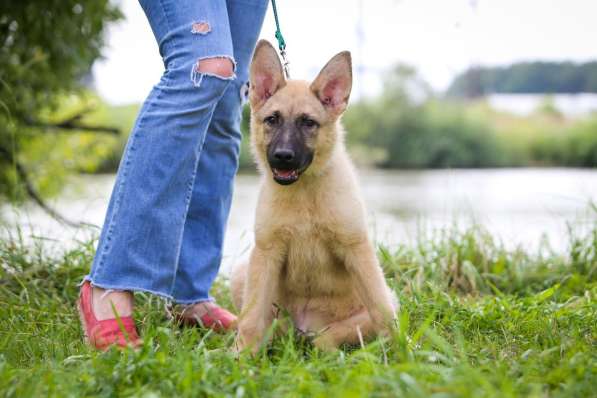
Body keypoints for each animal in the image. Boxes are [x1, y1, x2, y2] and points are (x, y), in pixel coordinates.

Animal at [232, 40, 396, 352]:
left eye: (308, 123)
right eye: (272, 119)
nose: (283, 157)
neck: (304, 193)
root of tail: (300, 327)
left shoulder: (356, 249)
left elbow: (381, 310)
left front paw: (402, 349)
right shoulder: (266, 253)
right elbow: (250, 320)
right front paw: (240, 356)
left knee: (331, 337)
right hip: (245, 277)